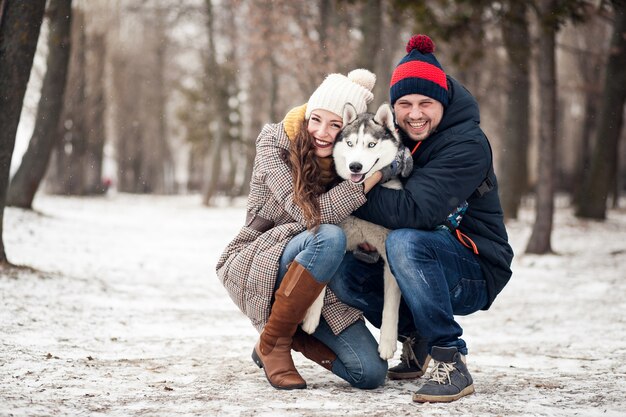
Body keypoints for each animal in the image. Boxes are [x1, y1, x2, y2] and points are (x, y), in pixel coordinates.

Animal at [302, 102, 404, 360]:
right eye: (349, 144)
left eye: (371, 144)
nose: (355, 166)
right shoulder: (339, 239)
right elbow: (319, 282)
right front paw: (311, 318)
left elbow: (390, 306)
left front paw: (387, 344)